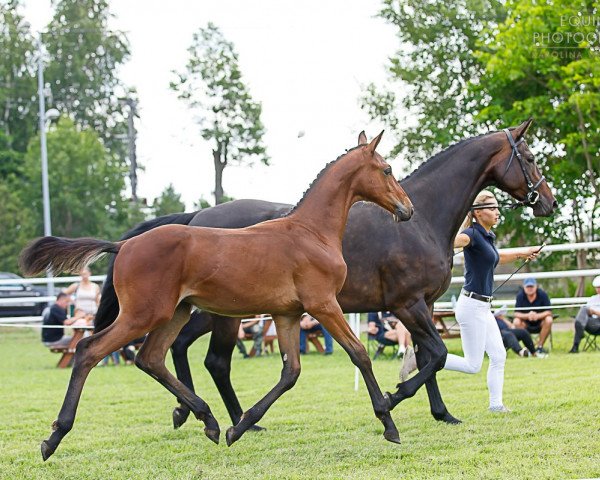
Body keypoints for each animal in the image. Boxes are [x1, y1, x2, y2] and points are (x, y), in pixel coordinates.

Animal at [24, 129, 418, 460]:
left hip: (176, 312)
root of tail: (123, 245)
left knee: (151, 358)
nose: (407, 209)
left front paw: (239, 427)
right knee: (89, 351)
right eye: (387, 169)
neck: (310, 232)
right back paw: (55, 436)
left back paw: (208, 420)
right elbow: (359, 354)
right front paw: (388, 422)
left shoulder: (287, 314)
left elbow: (290, 372)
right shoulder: (323, 304)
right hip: (144, 314)